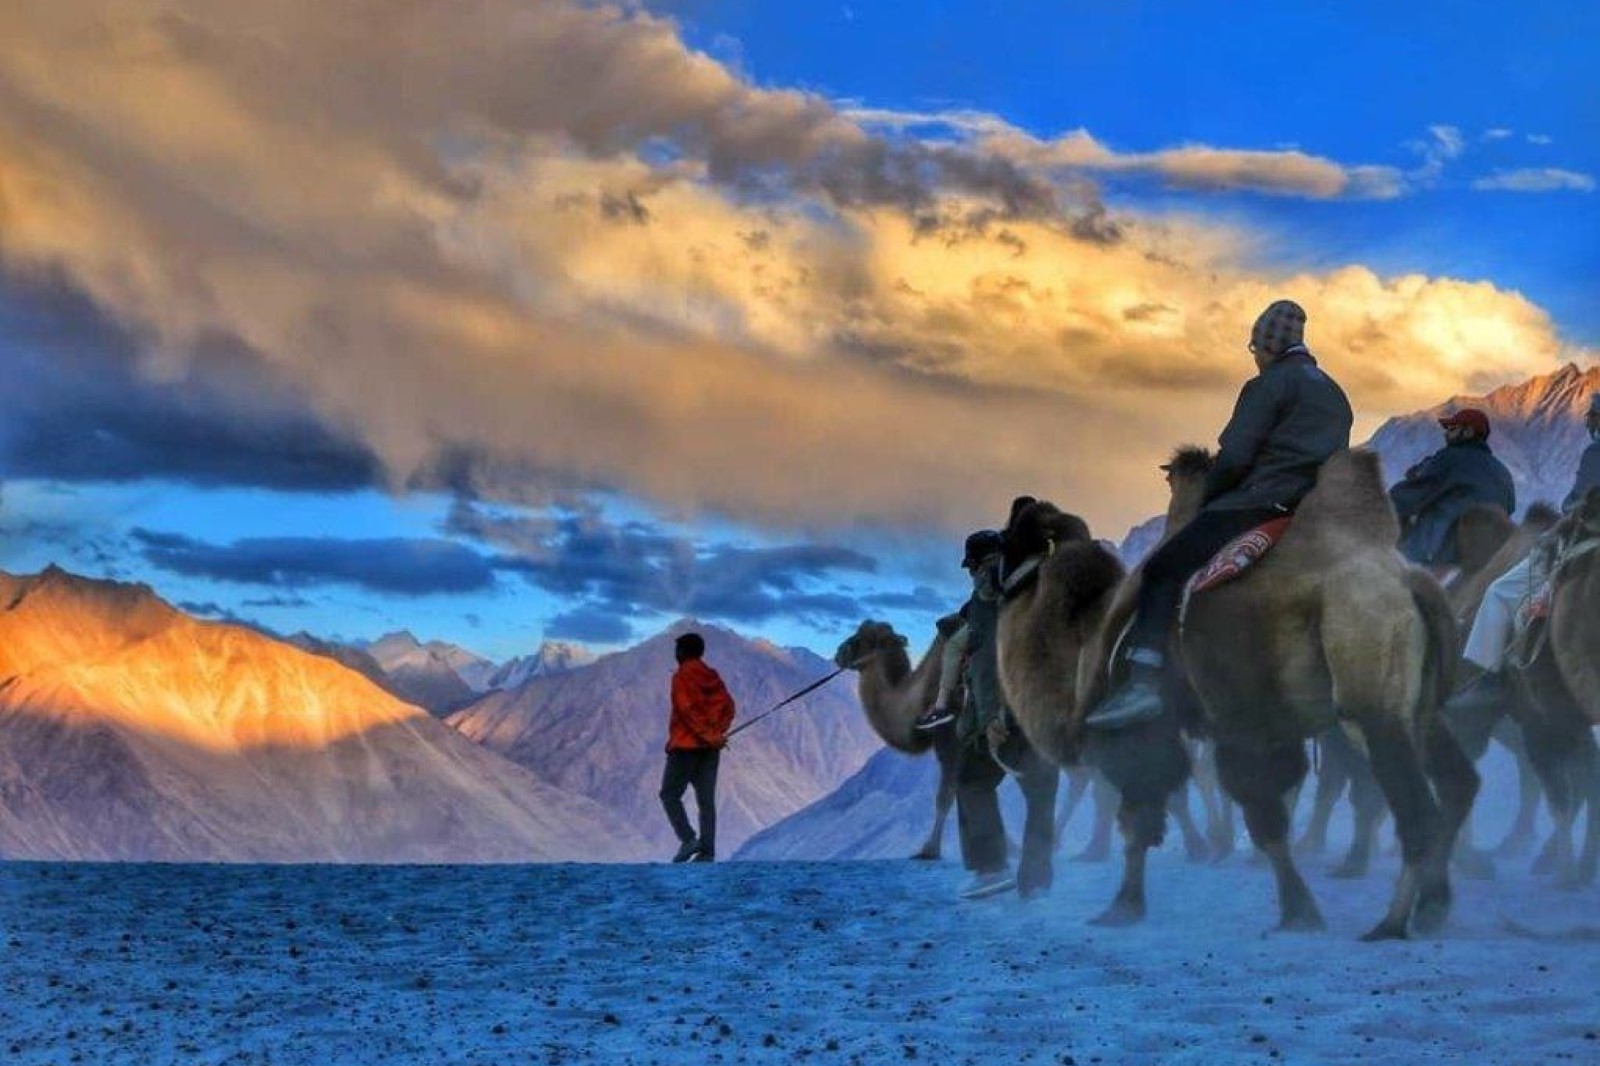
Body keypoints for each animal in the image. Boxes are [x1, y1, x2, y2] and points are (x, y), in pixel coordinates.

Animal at [1075, 448, 1472, 941]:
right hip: (1420, 708)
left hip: (1372, 706)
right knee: (1457, 784)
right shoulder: (1266, 729)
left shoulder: (1219, 726)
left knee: (1418, 813)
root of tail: (1411, 583)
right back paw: (1434, 904)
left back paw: (1391, 922)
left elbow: (1241, 815)